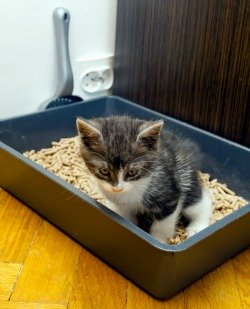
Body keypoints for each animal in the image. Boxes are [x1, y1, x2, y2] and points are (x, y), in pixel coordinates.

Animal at [76, 114, 213, 242]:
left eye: (132, 172)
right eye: (104, 171)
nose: (117, 188)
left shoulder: (169, 195)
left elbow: (163, 225)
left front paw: (159, 240)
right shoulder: (122, 205)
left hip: (187, 179)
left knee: (201, 202)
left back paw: (197, 227)